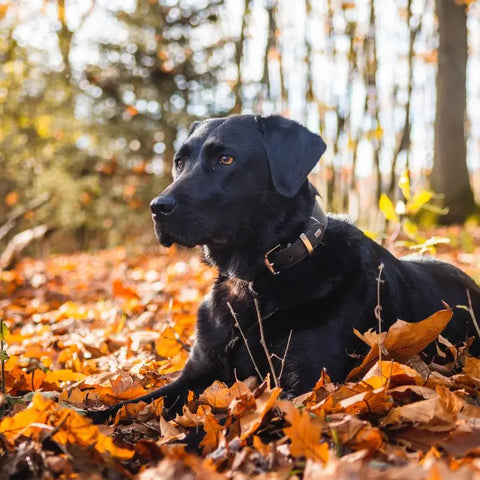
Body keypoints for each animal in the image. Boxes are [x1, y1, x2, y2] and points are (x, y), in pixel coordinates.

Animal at [91, 114, 480, 422]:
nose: (157, 207)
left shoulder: (305, 387)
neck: (252, 280)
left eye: (226, 159)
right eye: (179, 162)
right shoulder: (196, 374)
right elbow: (127, 405)